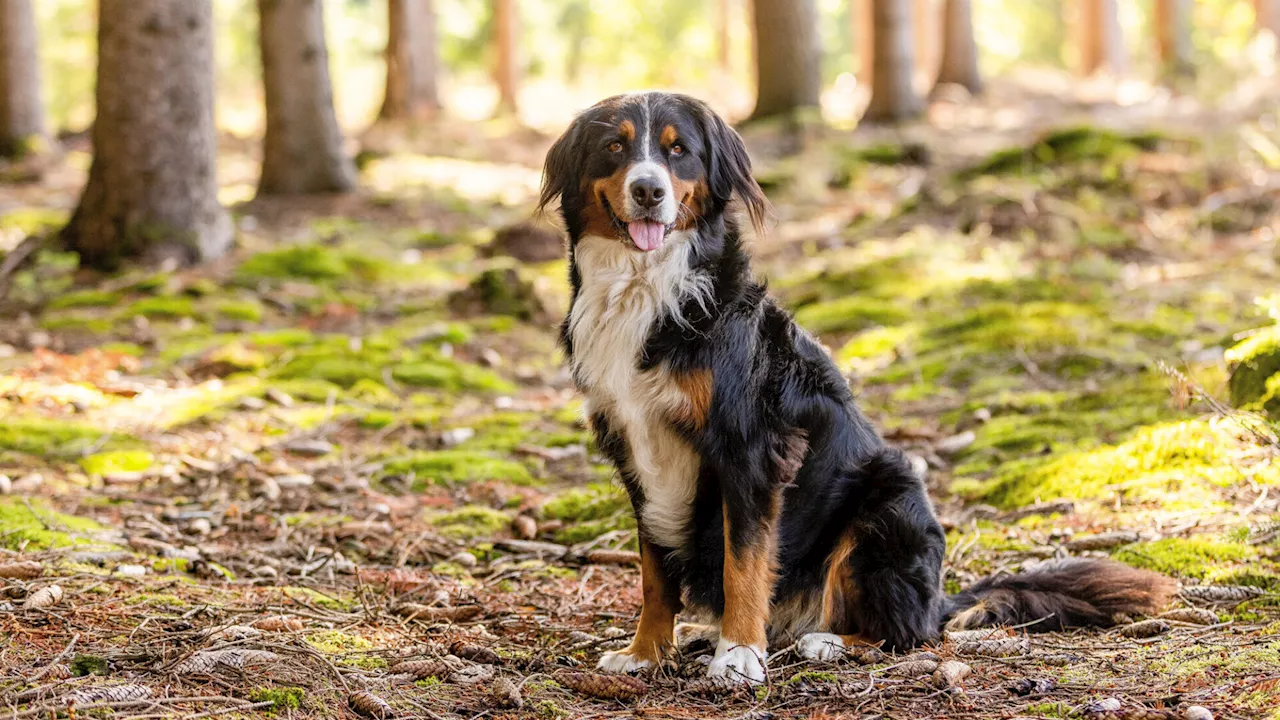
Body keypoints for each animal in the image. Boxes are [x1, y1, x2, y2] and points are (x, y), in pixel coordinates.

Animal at [535, 92, 1172, 681]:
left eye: (677, 151)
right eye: (615, 147)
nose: (648, 191)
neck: (648, 289)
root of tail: (942, 596)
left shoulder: (750, 447)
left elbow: (744, 562)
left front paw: (738, 655)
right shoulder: (636, 450)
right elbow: (653, 571)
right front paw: (645, 652)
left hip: (886, 507)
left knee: (908, 631)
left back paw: (824, 641)